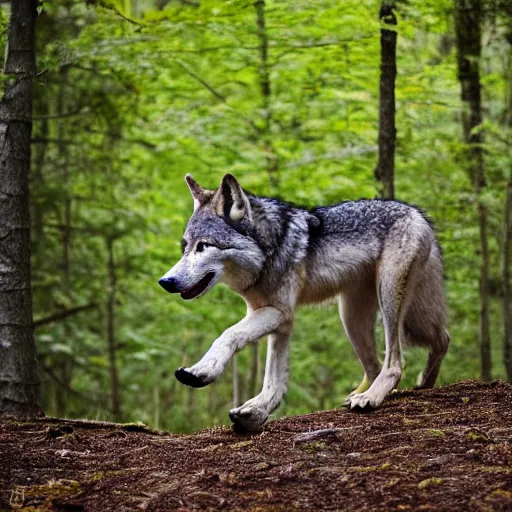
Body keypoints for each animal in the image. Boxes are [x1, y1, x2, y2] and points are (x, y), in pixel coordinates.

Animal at [158, 173, 450, 432]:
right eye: (185, 247)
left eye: (204, 246)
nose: (166, 281)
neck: (268, 251)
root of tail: (417, 213)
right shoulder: (276, 319)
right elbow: (274, 379)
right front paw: (257, 411)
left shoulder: (280, 312)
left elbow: (228, 335)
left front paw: (202, 372)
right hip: (354, 317)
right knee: (426, 344)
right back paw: (417, 384)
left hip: (388, 300)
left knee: (394, 363)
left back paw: (371, 397)